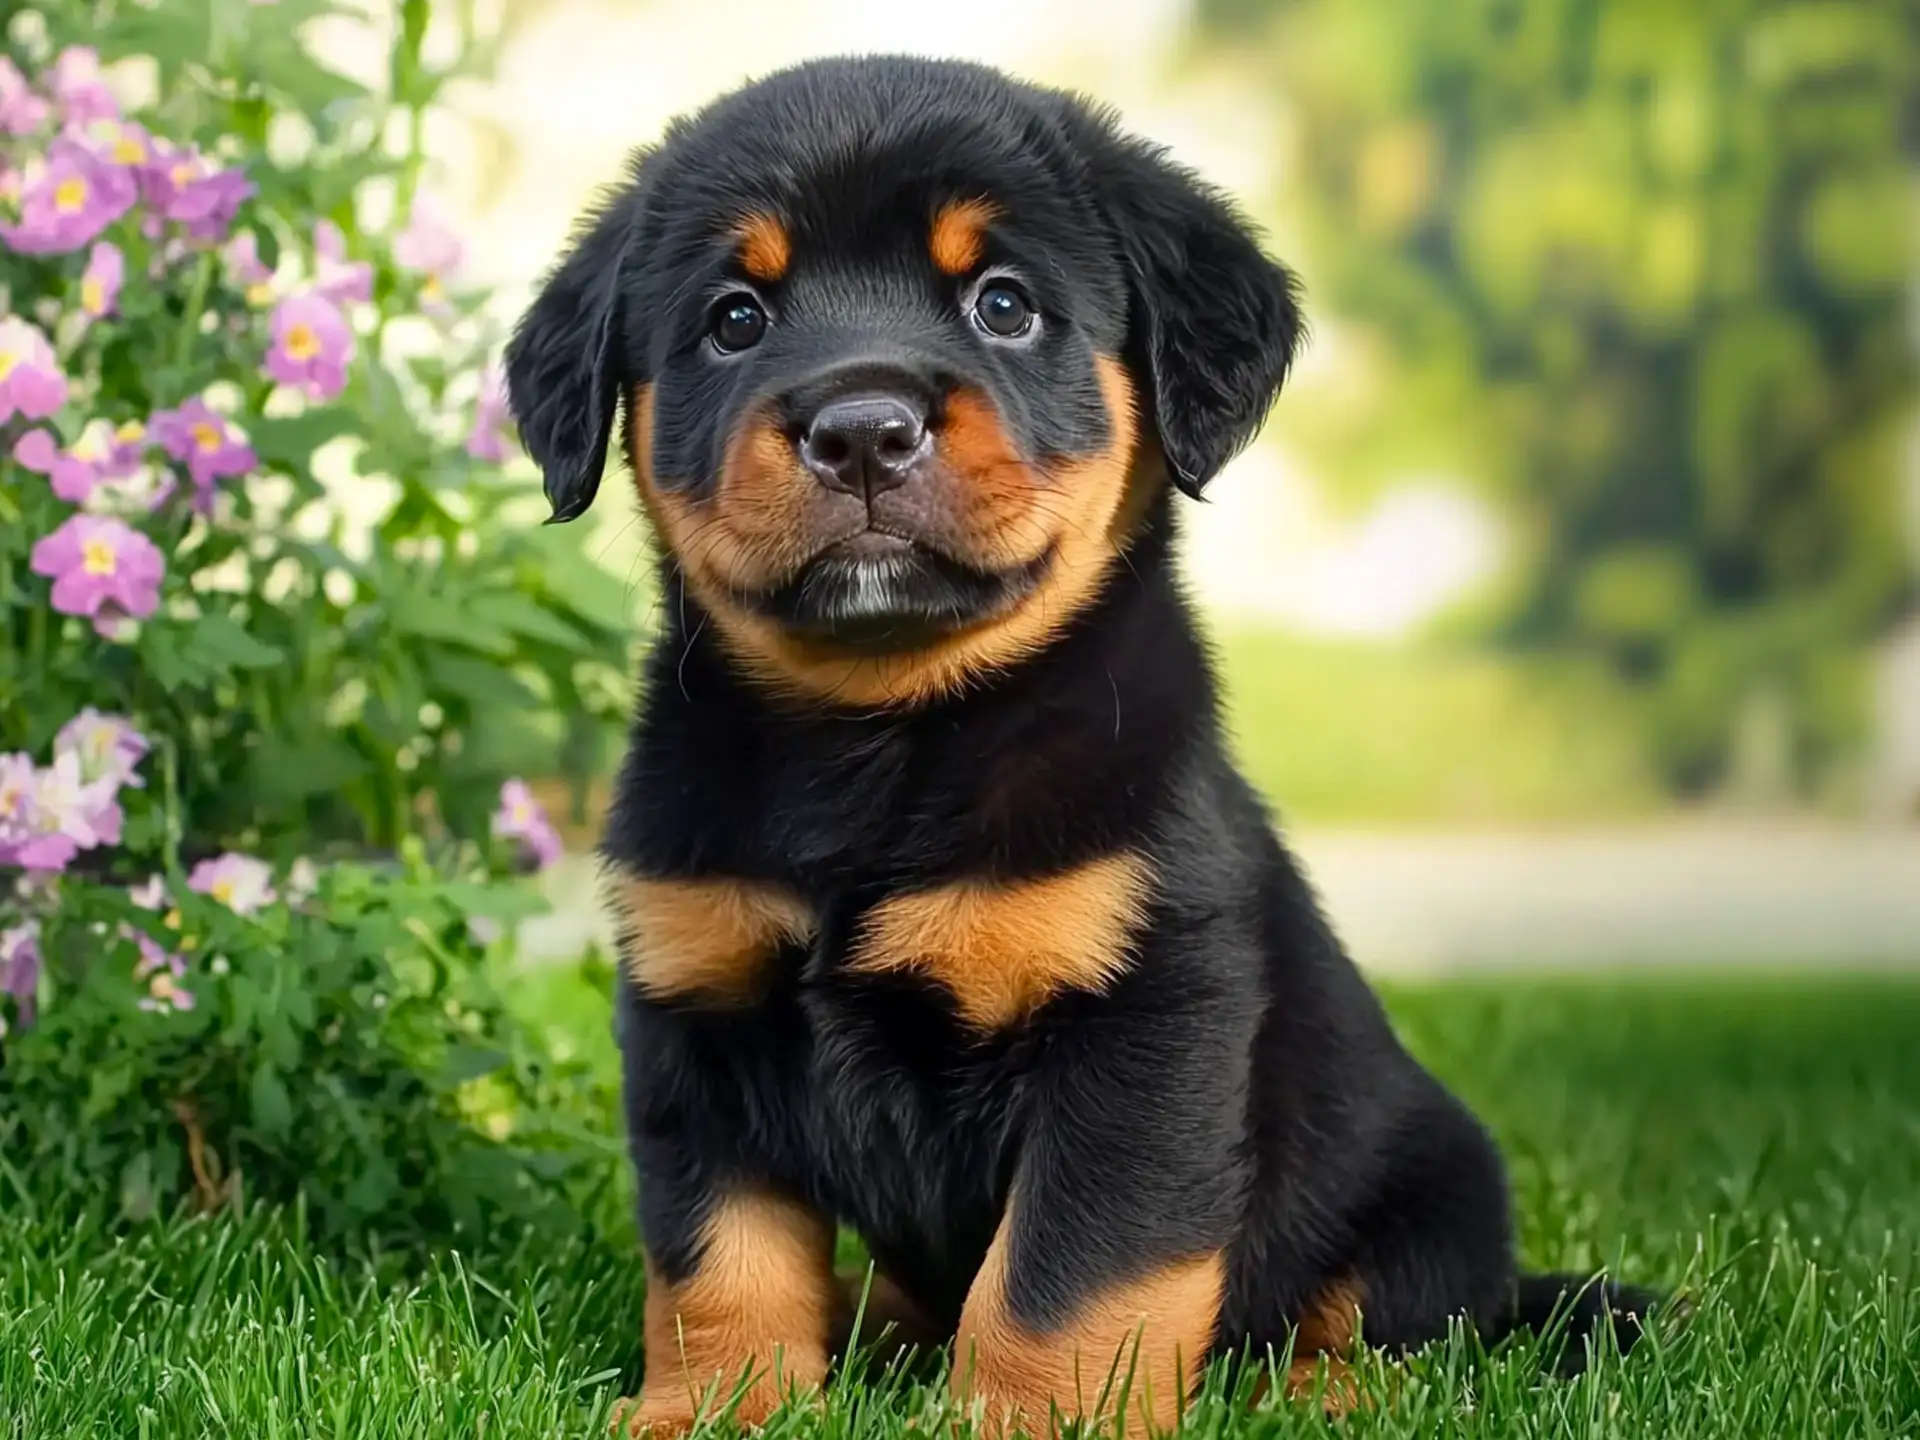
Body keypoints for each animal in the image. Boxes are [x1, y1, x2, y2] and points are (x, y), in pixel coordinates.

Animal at [506, 50, 1651, 1436]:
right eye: (735, 319)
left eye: (1003, 304)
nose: (861, 429)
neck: (879, 740)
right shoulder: (696, 1010)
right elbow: (718, 1259)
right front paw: (716, 1407)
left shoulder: (1138, 1028)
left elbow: (1060, 1279)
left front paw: (1019, 1419)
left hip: (1428, 1185)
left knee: (1406, 1325)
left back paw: (1305, 1388)